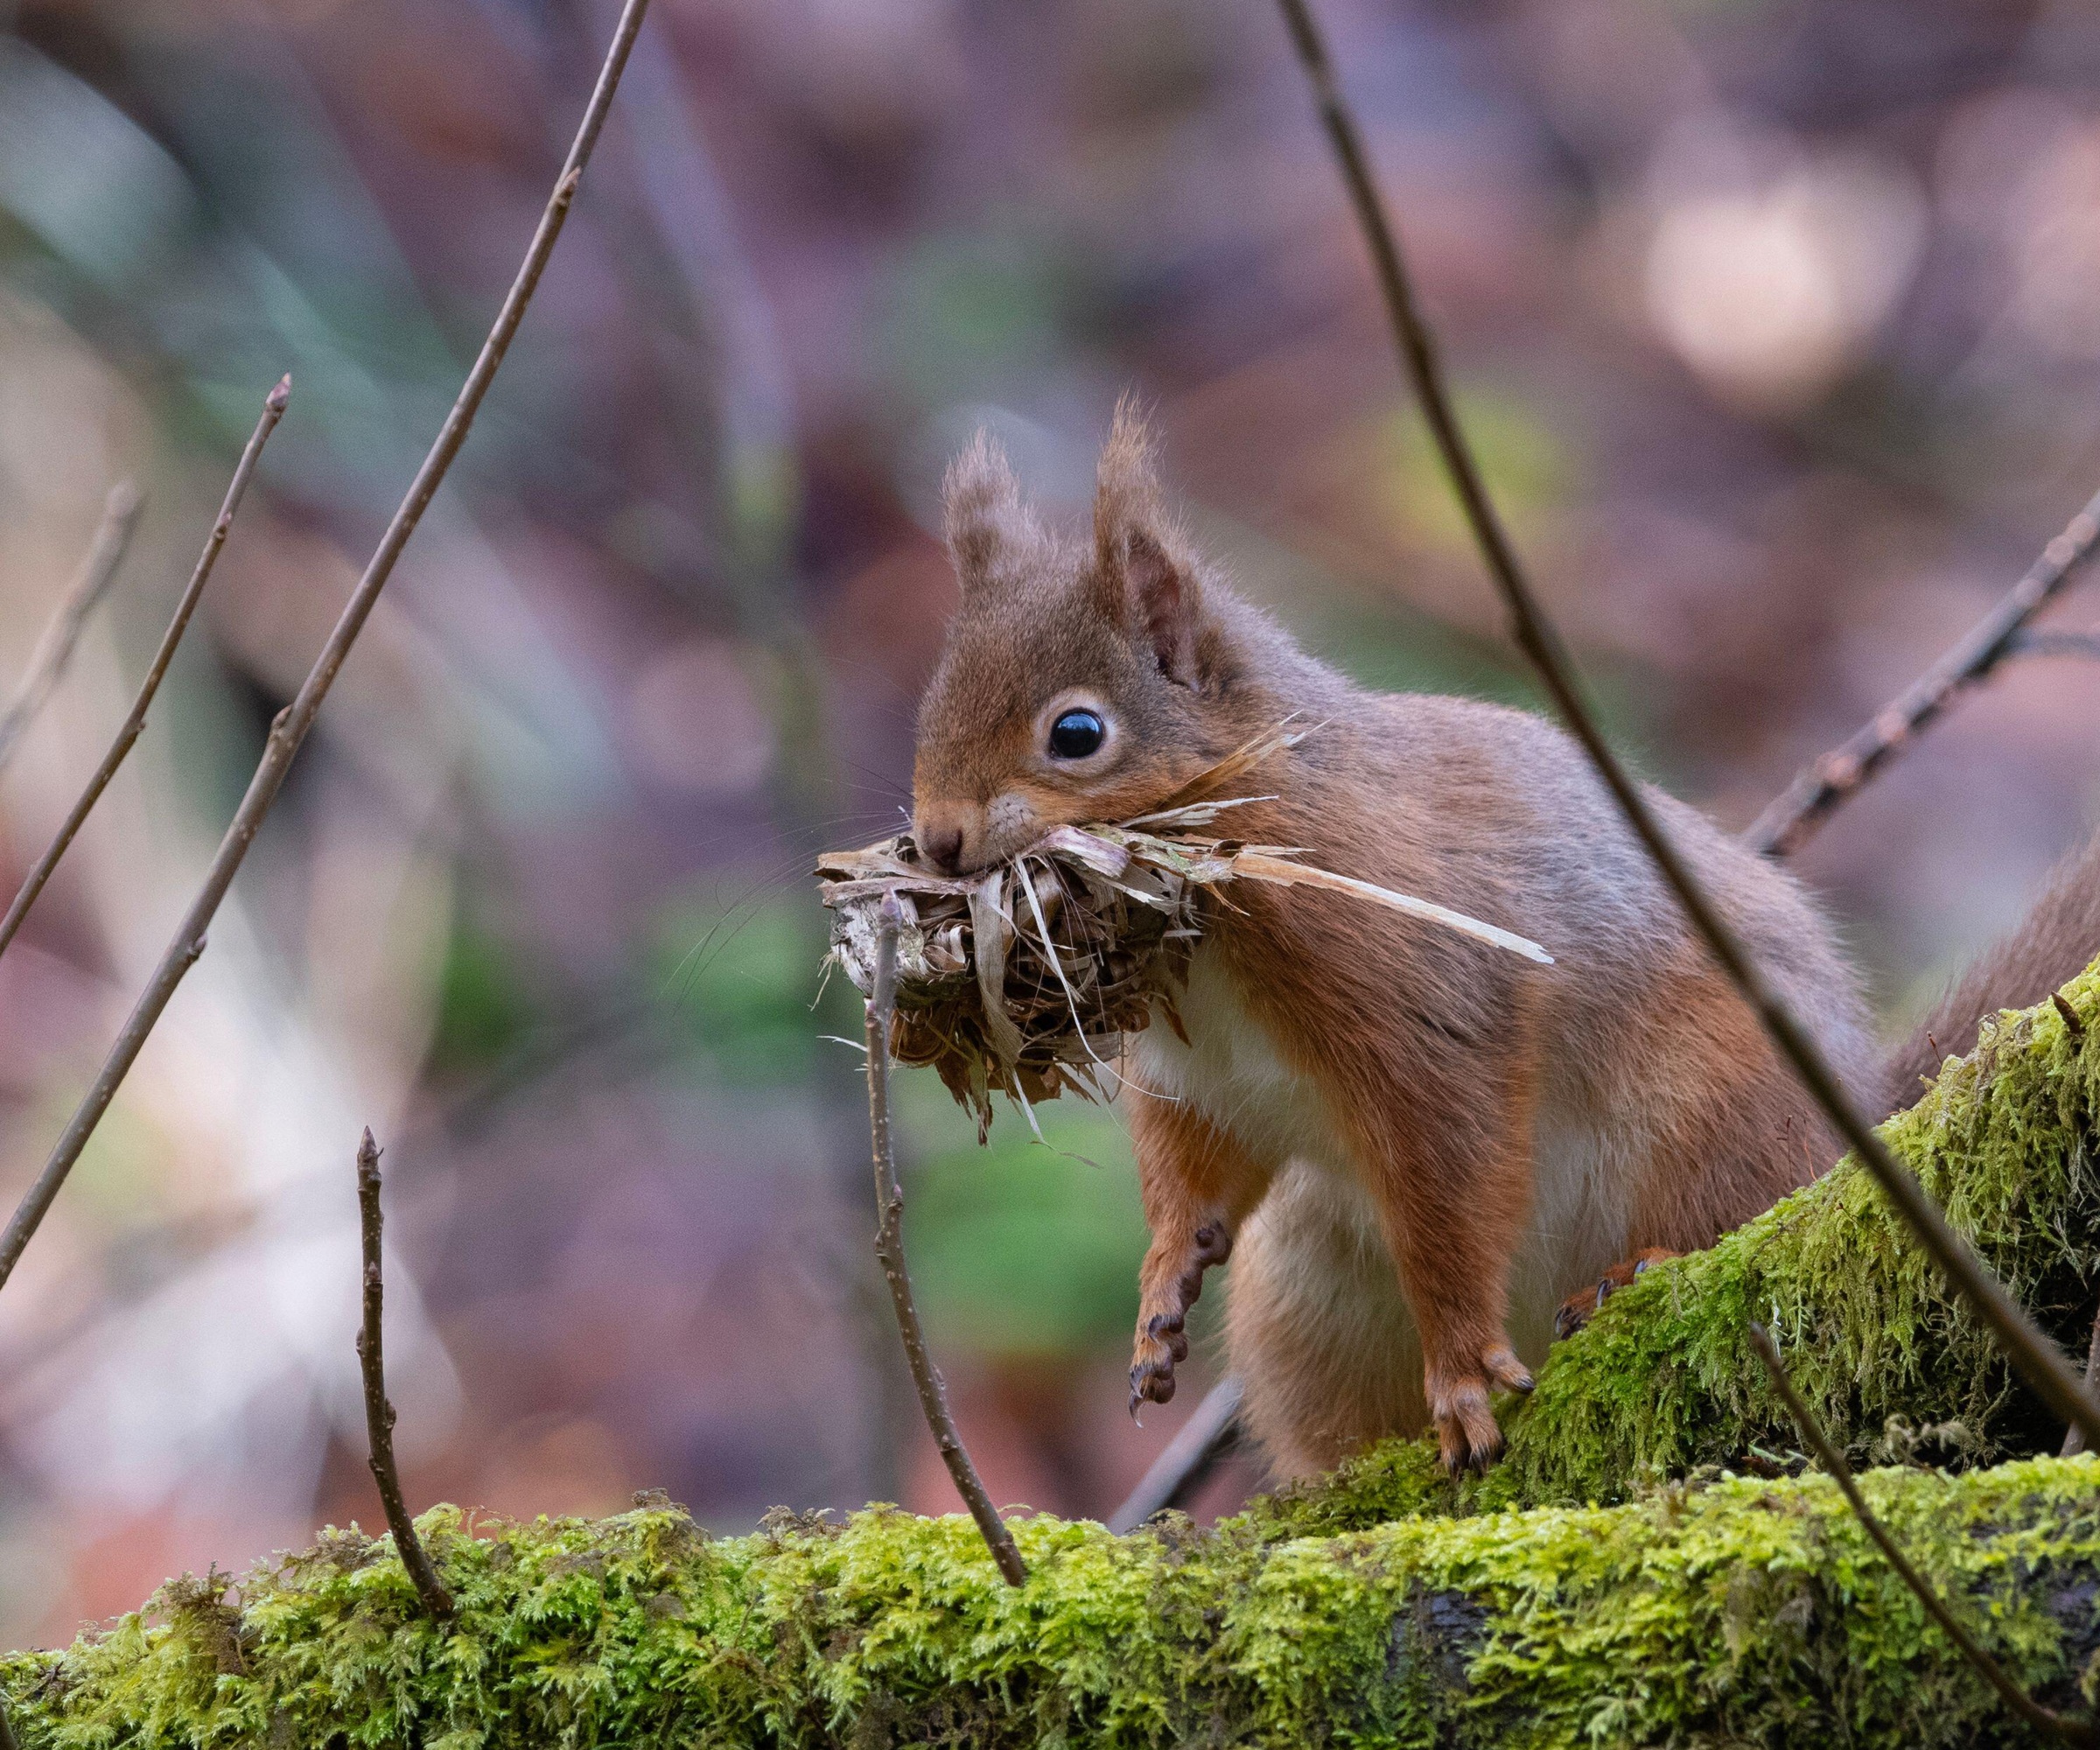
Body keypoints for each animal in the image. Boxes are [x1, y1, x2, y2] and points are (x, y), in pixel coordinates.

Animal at [908, 402, 2100, 1475]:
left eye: (1077, 733)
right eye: (931, 707)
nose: (938, 840)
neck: (1208, 939)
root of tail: (1859, 1114)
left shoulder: (1425, 996)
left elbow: (1449, 1189)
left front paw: (1464, 1374)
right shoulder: (1195, 1068)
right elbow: (1190, 1166)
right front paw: (1163, 1287)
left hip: (1715, 1100)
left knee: (1730, 1207)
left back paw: (1632, 1274)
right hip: (1302, 1297)